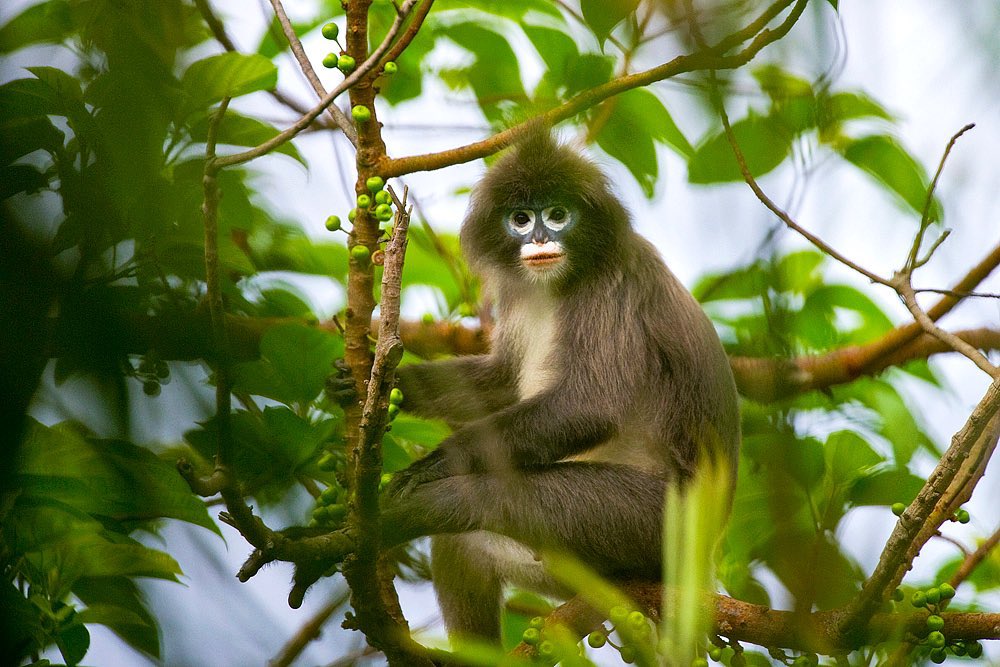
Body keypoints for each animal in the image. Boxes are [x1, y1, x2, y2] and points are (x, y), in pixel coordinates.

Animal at [375, 130, 741, 643]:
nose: (541, 239)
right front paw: (390, 381)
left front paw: (431, 465)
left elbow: (590, 406)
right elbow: (502, 383)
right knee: (463, 544)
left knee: (479, 499)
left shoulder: (612, 287)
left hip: (652, 520)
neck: (554, 284)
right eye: (521, 219)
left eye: (557, 214)